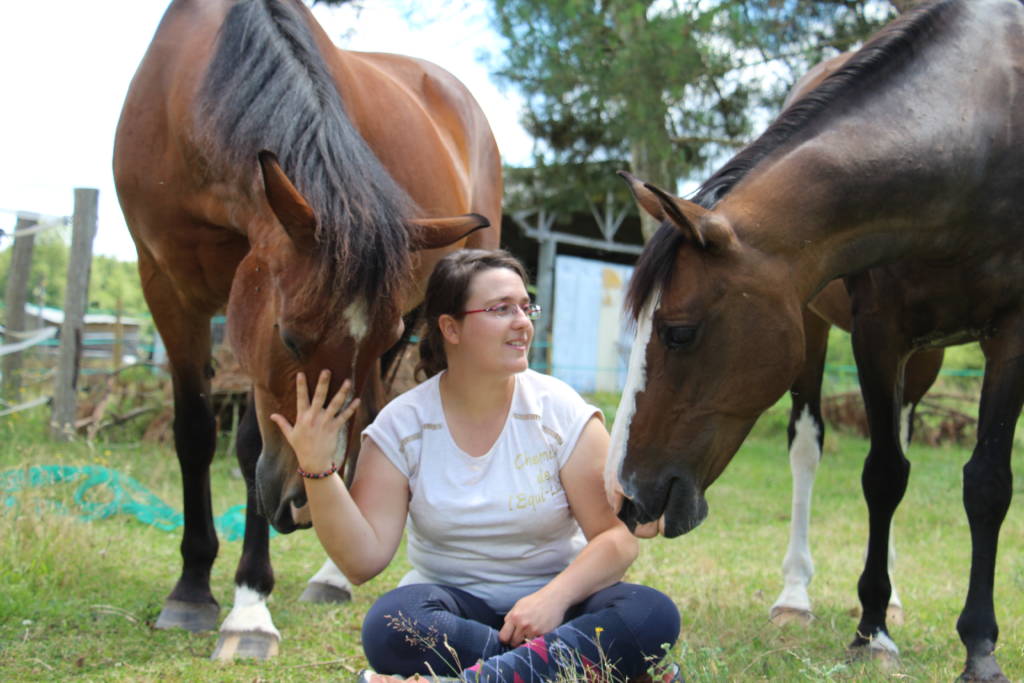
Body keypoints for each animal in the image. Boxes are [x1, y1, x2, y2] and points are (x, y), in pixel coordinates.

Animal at [112, 0, 499, 663]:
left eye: (373, 340)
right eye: (291, 337)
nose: (300, 504)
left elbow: (249, 447)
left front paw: (249, 605)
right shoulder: (165, 286)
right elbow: (195, 434)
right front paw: (191, 589)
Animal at [606, 2, 1024, 679]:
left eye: (679, 332)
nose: (625, 495)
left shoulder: (1011, 333)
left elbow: (986, 483)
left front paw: (979, 647)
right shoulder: (878, 331)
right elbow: (883, 475)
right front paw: (872, 632)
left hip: (928, 357)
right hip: (815, 330)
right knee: (808, 450)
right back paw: (796, 596)